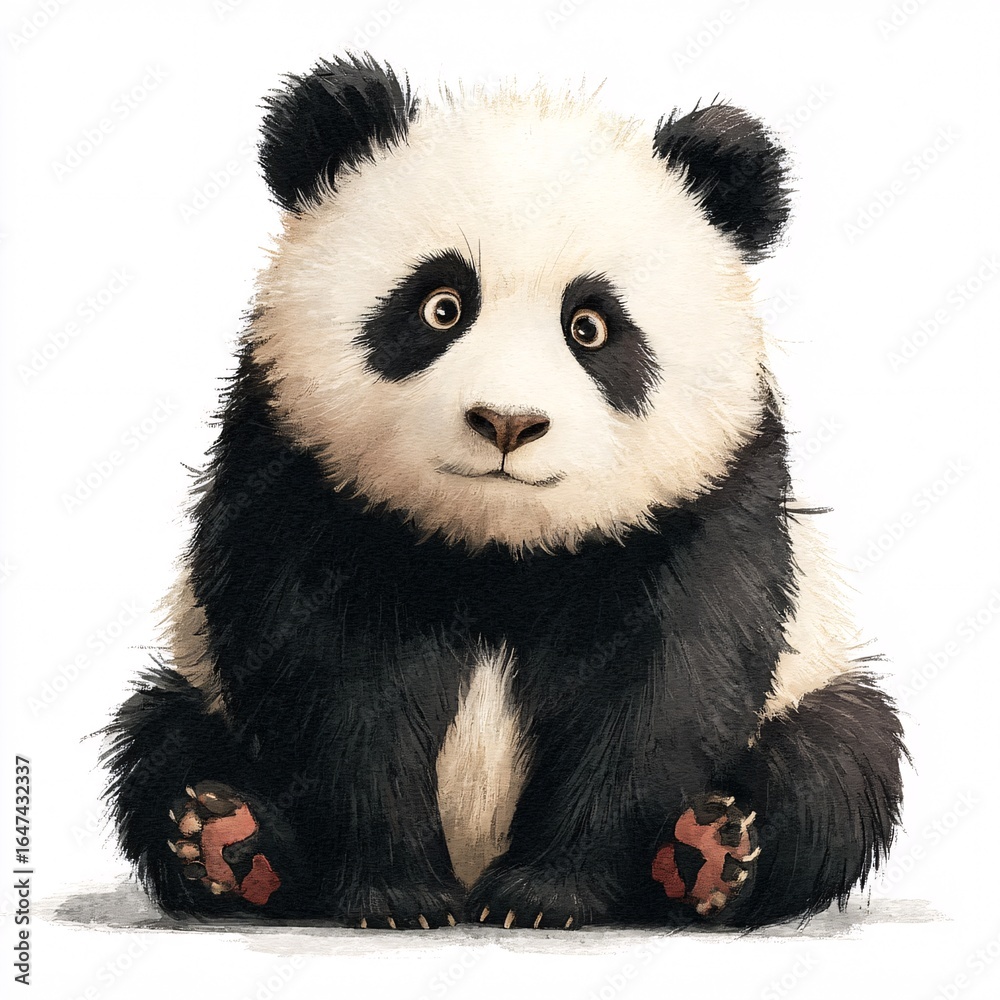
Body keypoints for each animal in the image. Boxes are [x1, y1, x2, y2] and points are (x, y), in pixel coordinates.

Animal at [103, 54, 906, 931]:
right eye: (441, 306)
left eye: (590, 327)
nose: (507, 422)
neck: (496, 544)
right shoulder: (299, 483)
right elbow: (331, 683)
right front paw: (397, 894)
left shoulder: (706, 504)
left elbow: (663, 687)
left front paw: (547, 894)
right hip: (191, 684)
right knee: (158, 741)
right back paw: (227, 839)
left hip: (815, 682)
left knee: (843, 762)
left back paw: (710, 854)